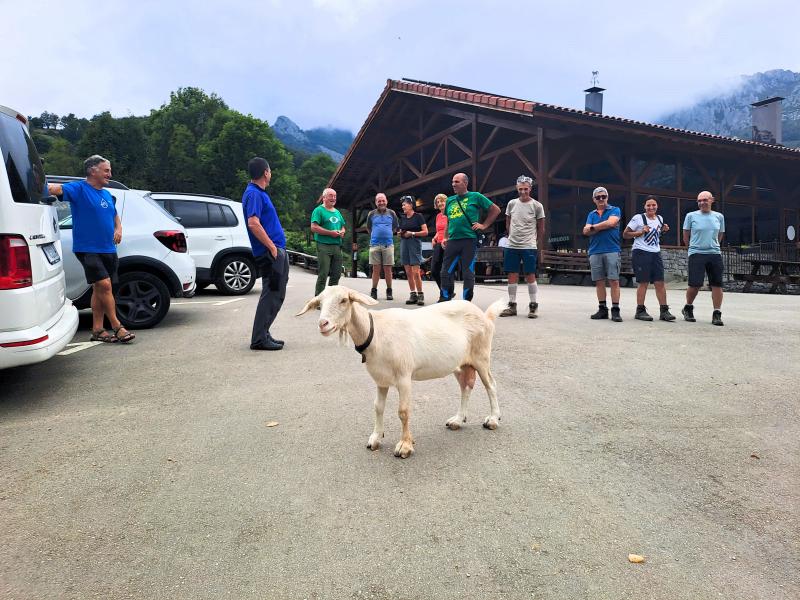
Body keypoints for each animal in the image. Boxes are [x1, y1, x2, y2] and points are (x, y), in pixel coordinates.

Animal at [296, 286, 504, 460]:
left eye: (344, 300)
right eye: (320, 303)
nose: (323, 324)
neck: (376, 332)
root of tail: (486, 316)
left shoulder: (404, 377)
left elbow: (403, 411)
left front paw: (405, 446)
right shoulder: (380, 379)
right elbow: (378, 407)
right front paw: (375, 438)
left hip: (482, 357)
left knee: (491, 385)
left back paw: (493, 419)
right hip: (461, 364)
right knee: (466, 386)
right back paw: (458, 420)